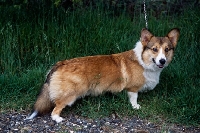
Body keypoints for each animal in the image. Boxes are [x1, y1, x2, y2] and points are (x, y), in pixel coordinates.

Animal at [26, 28, 180, 122]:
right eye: (154, 49)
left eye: (167, 50)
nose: (162, 61)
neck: (143, 61)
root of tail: (60, 64)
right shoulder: (132, 88)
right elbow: (134, 98)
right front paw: (136, 107)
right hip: (70, 94)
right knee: (56, 108)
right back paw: (58, 119)